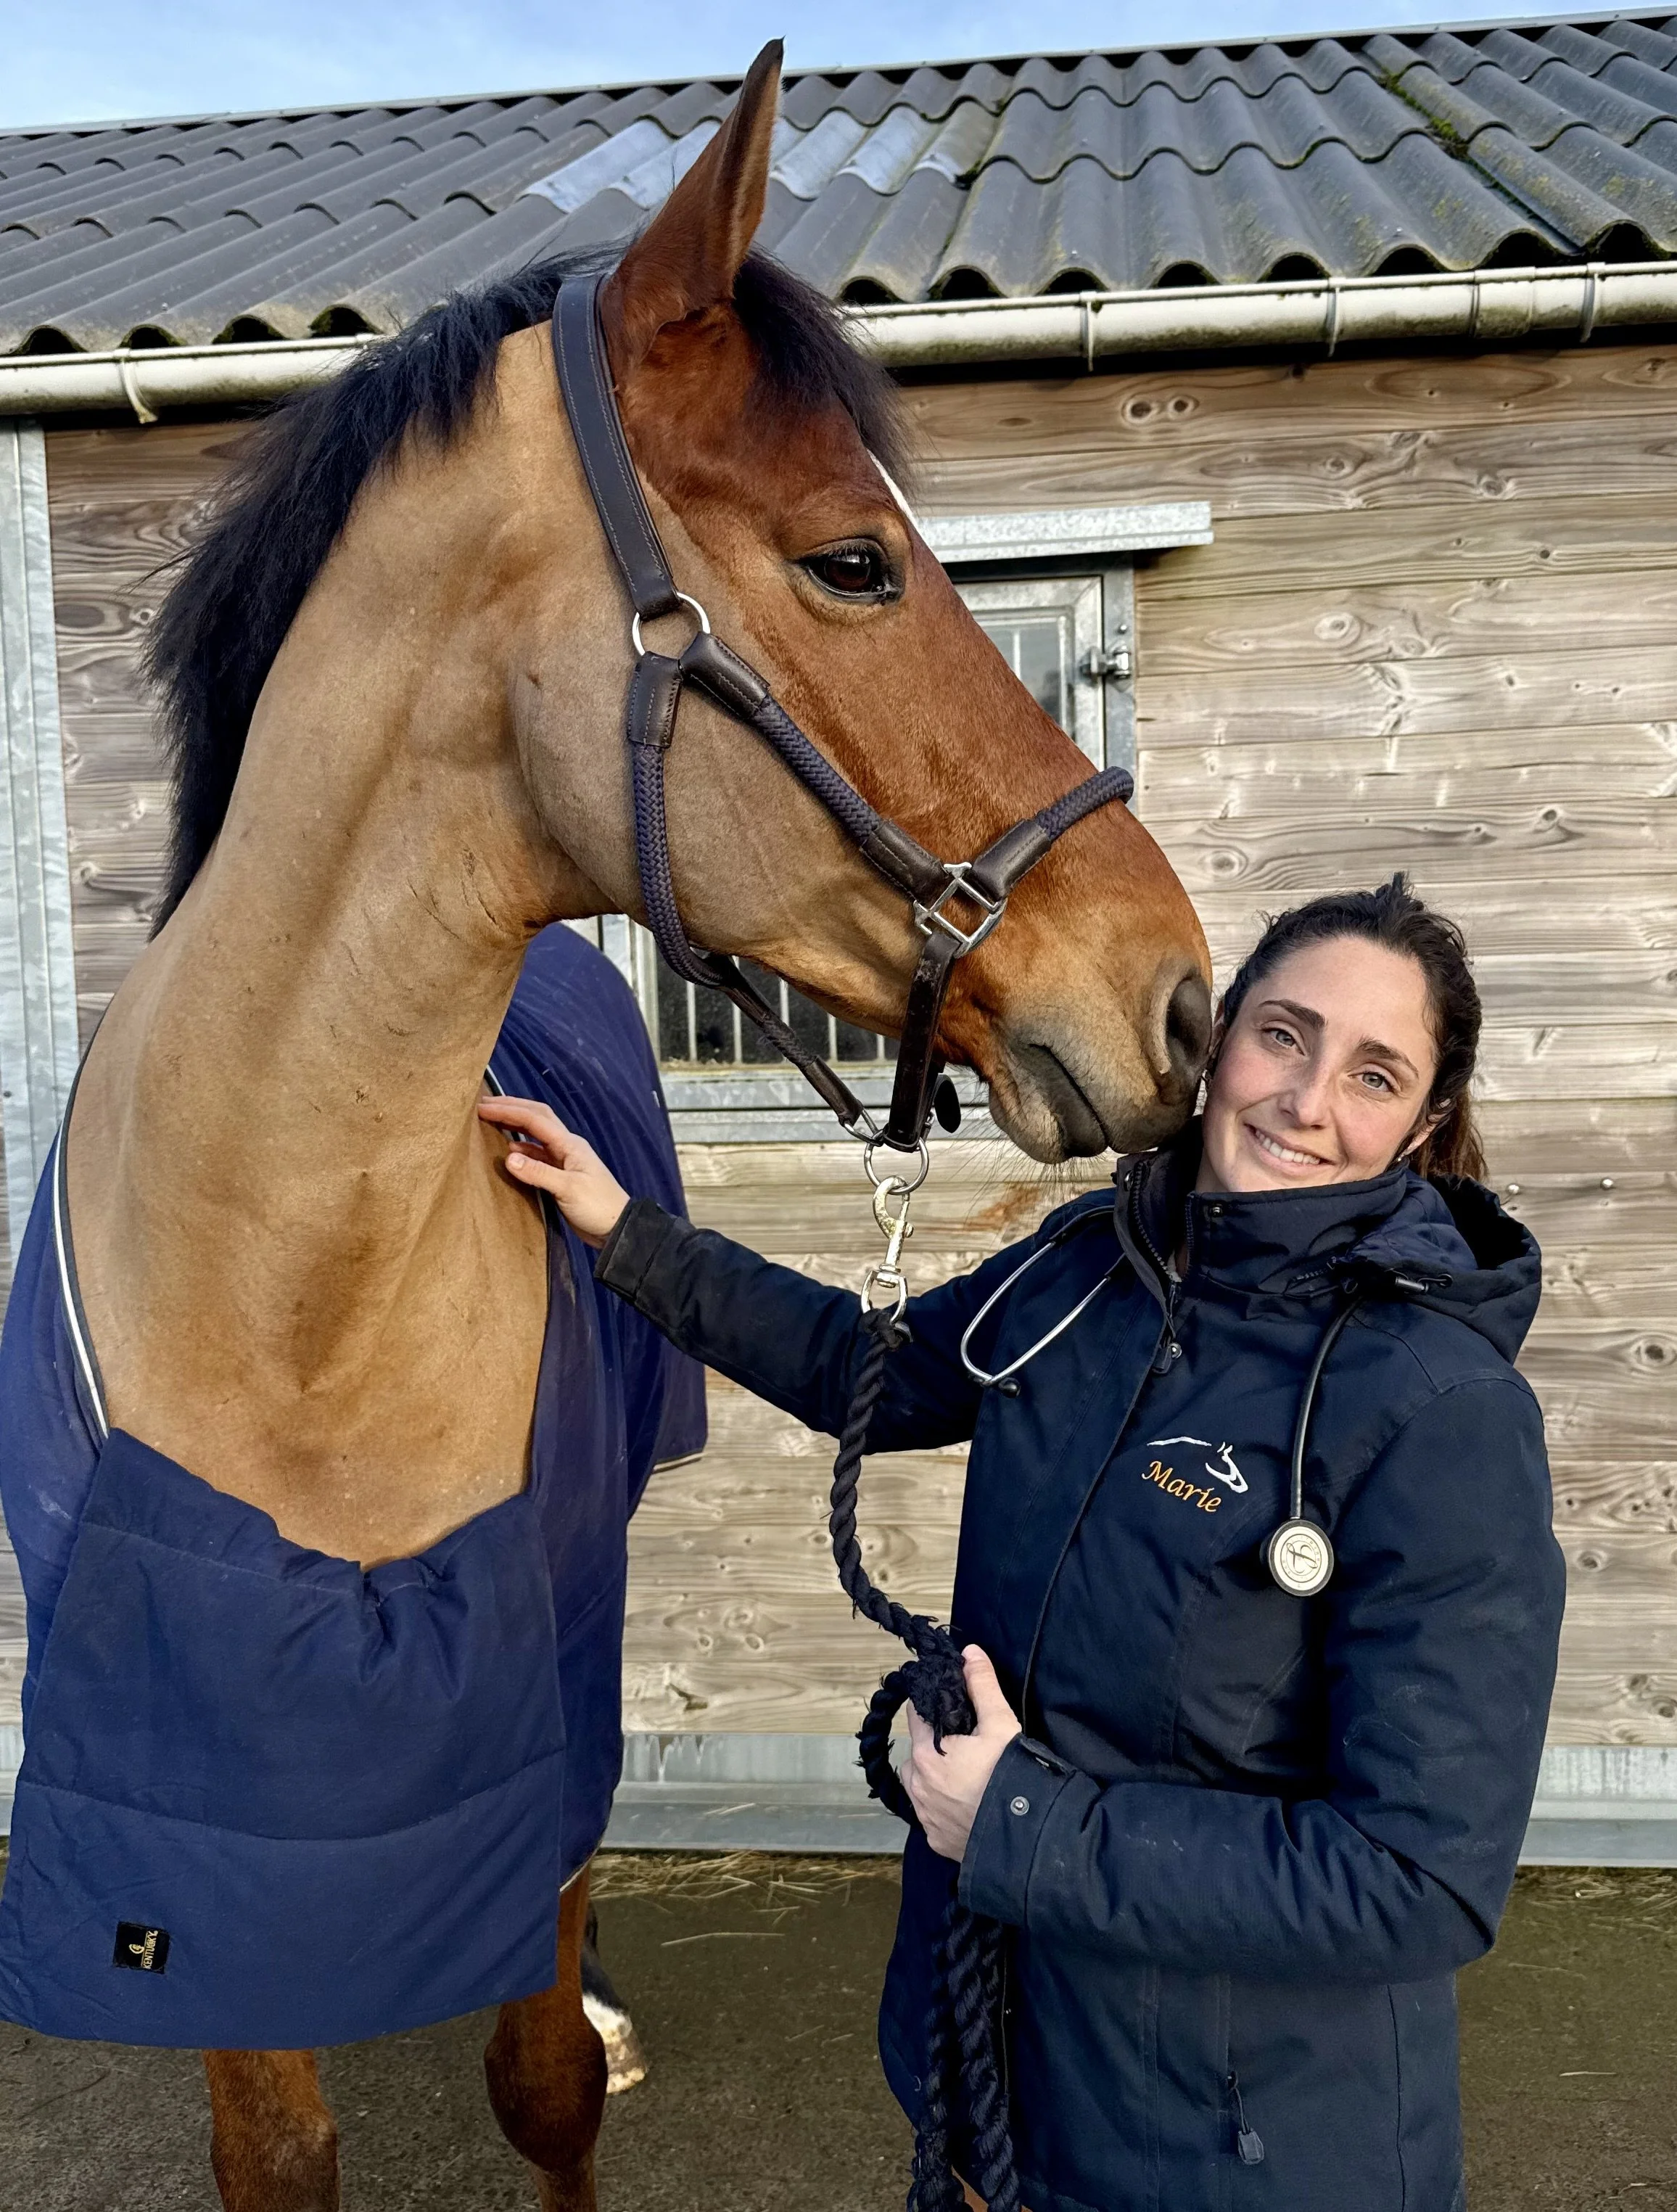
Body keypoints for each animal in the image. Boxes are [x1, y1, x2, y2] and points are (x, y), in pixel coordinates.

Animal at [0, 43, 1209, 2212]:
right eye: (852, 561)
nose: (1179, 991)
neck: (285, 1303)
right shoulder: (192, 1806)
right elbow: (277, 2134)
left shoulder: (541, 1672)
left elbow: (544, 2072)